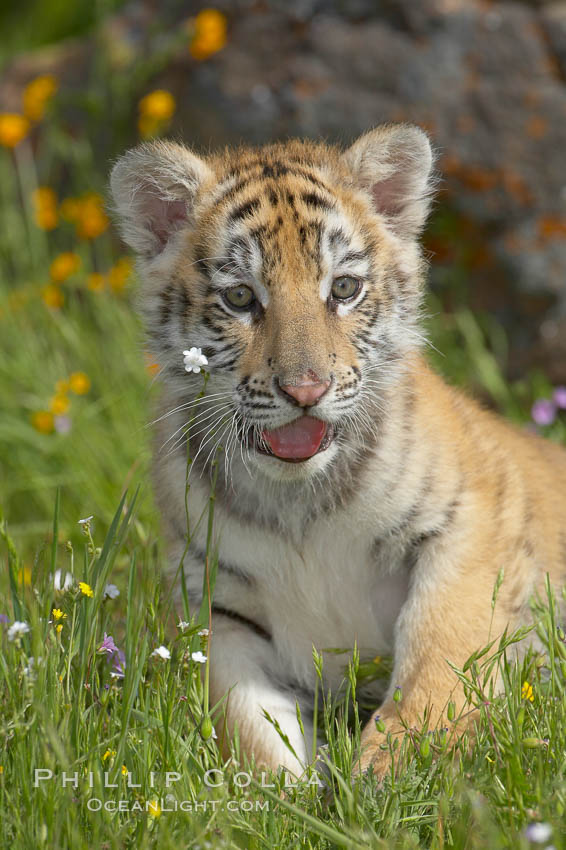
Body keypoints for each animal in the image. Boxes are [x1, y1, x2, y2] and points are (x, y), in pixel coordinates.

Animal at [110, 125, 566, 780]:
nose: (306, 390)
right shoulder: (213, 606)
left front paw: (392, 768)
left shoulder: (473, 519)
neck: (298, 501)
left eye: (344, 289)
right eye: (241, 297)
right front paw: (284, 795)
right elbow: (246, 720)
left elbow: (440, 645)